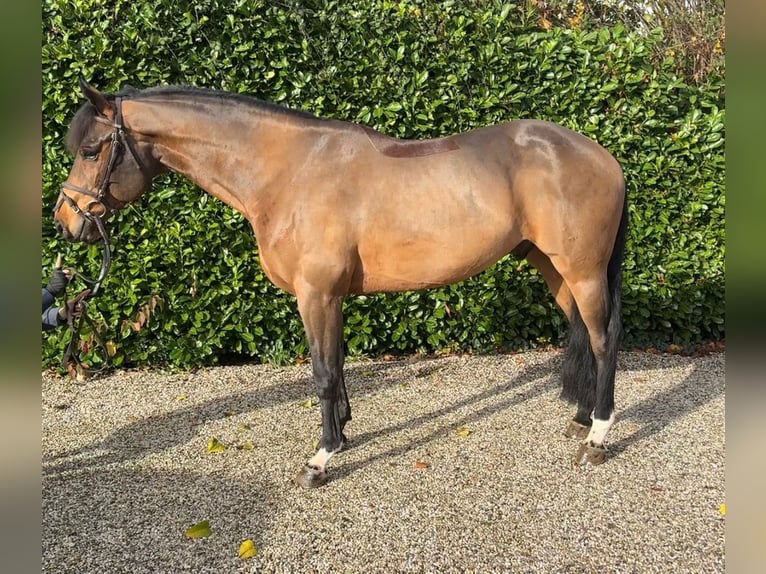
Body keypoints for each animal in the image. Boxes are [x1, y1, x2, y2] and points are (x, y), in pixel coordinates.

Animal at [53, 78, 627, 488]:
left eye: (90, 150)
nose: (66, 221)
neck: (287, 172)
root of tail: (601, 156)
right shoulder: (329, 298)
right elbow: (338, 366)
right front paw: (345, 434)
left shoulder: (318, 294)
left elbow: (324, 373)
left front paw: (322, 459)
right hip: (552, 266)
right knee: (584, 333)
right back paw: (580, 417)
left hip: (581, 269)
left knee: (604, 338)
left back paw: (598, 436)